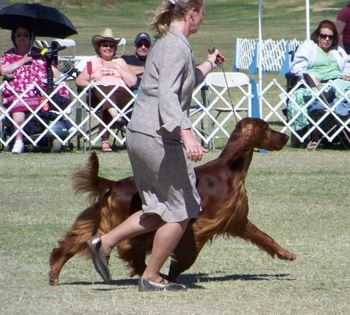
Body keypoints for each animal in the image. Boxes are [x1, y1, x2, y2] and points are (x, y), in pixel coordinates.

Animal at [49, 118, 296, 286]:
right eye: (266, 128)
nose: (286, 137)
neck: (230, 170)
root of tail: (114, 184)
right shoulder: (202, 225)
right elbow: (188, 255)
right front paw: (173, 272)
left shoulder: (237, 221)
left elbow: (264, 237)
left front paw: (286, 254)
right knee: (126, 246)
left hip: (99, 221)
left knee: (72, 244)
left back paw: (54, 273)